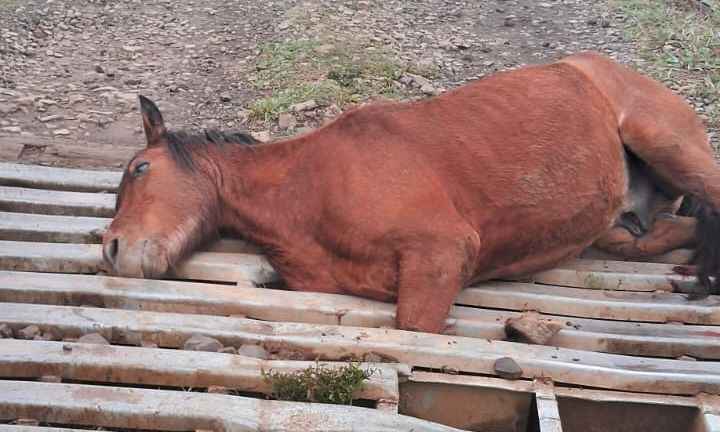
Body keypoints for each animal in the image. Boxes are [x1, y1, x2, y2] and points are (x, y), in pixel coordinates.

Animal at [102, 51, 720, 334]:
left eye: (140, 168)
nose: (111, 250)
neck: (305, 188)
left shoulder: (441, 252)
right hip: (618, 228)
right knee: (671, 230)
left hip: (669, 145)